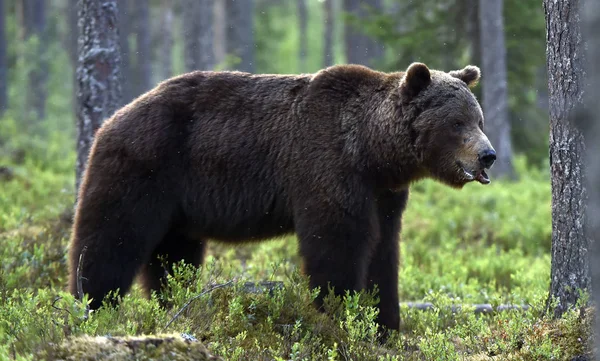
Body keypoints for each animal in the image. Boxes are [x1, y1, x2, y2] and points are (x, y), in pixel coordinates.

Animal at [67, 62, 496, 332]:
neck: (372, 152)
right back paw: (89, 307)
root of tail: (111, 119)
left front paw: (384, 325)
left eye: (479, 119)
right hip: (145, 167)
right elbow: (337, 244)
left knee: (174, 260)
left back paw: (177, 306)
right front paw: (337, 315)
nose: (488, 154)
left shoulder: (384, 194)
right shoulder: (325, 165)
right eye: (457, 123)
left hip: (177, 207)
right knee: (110, 239)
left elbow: (383, 251)